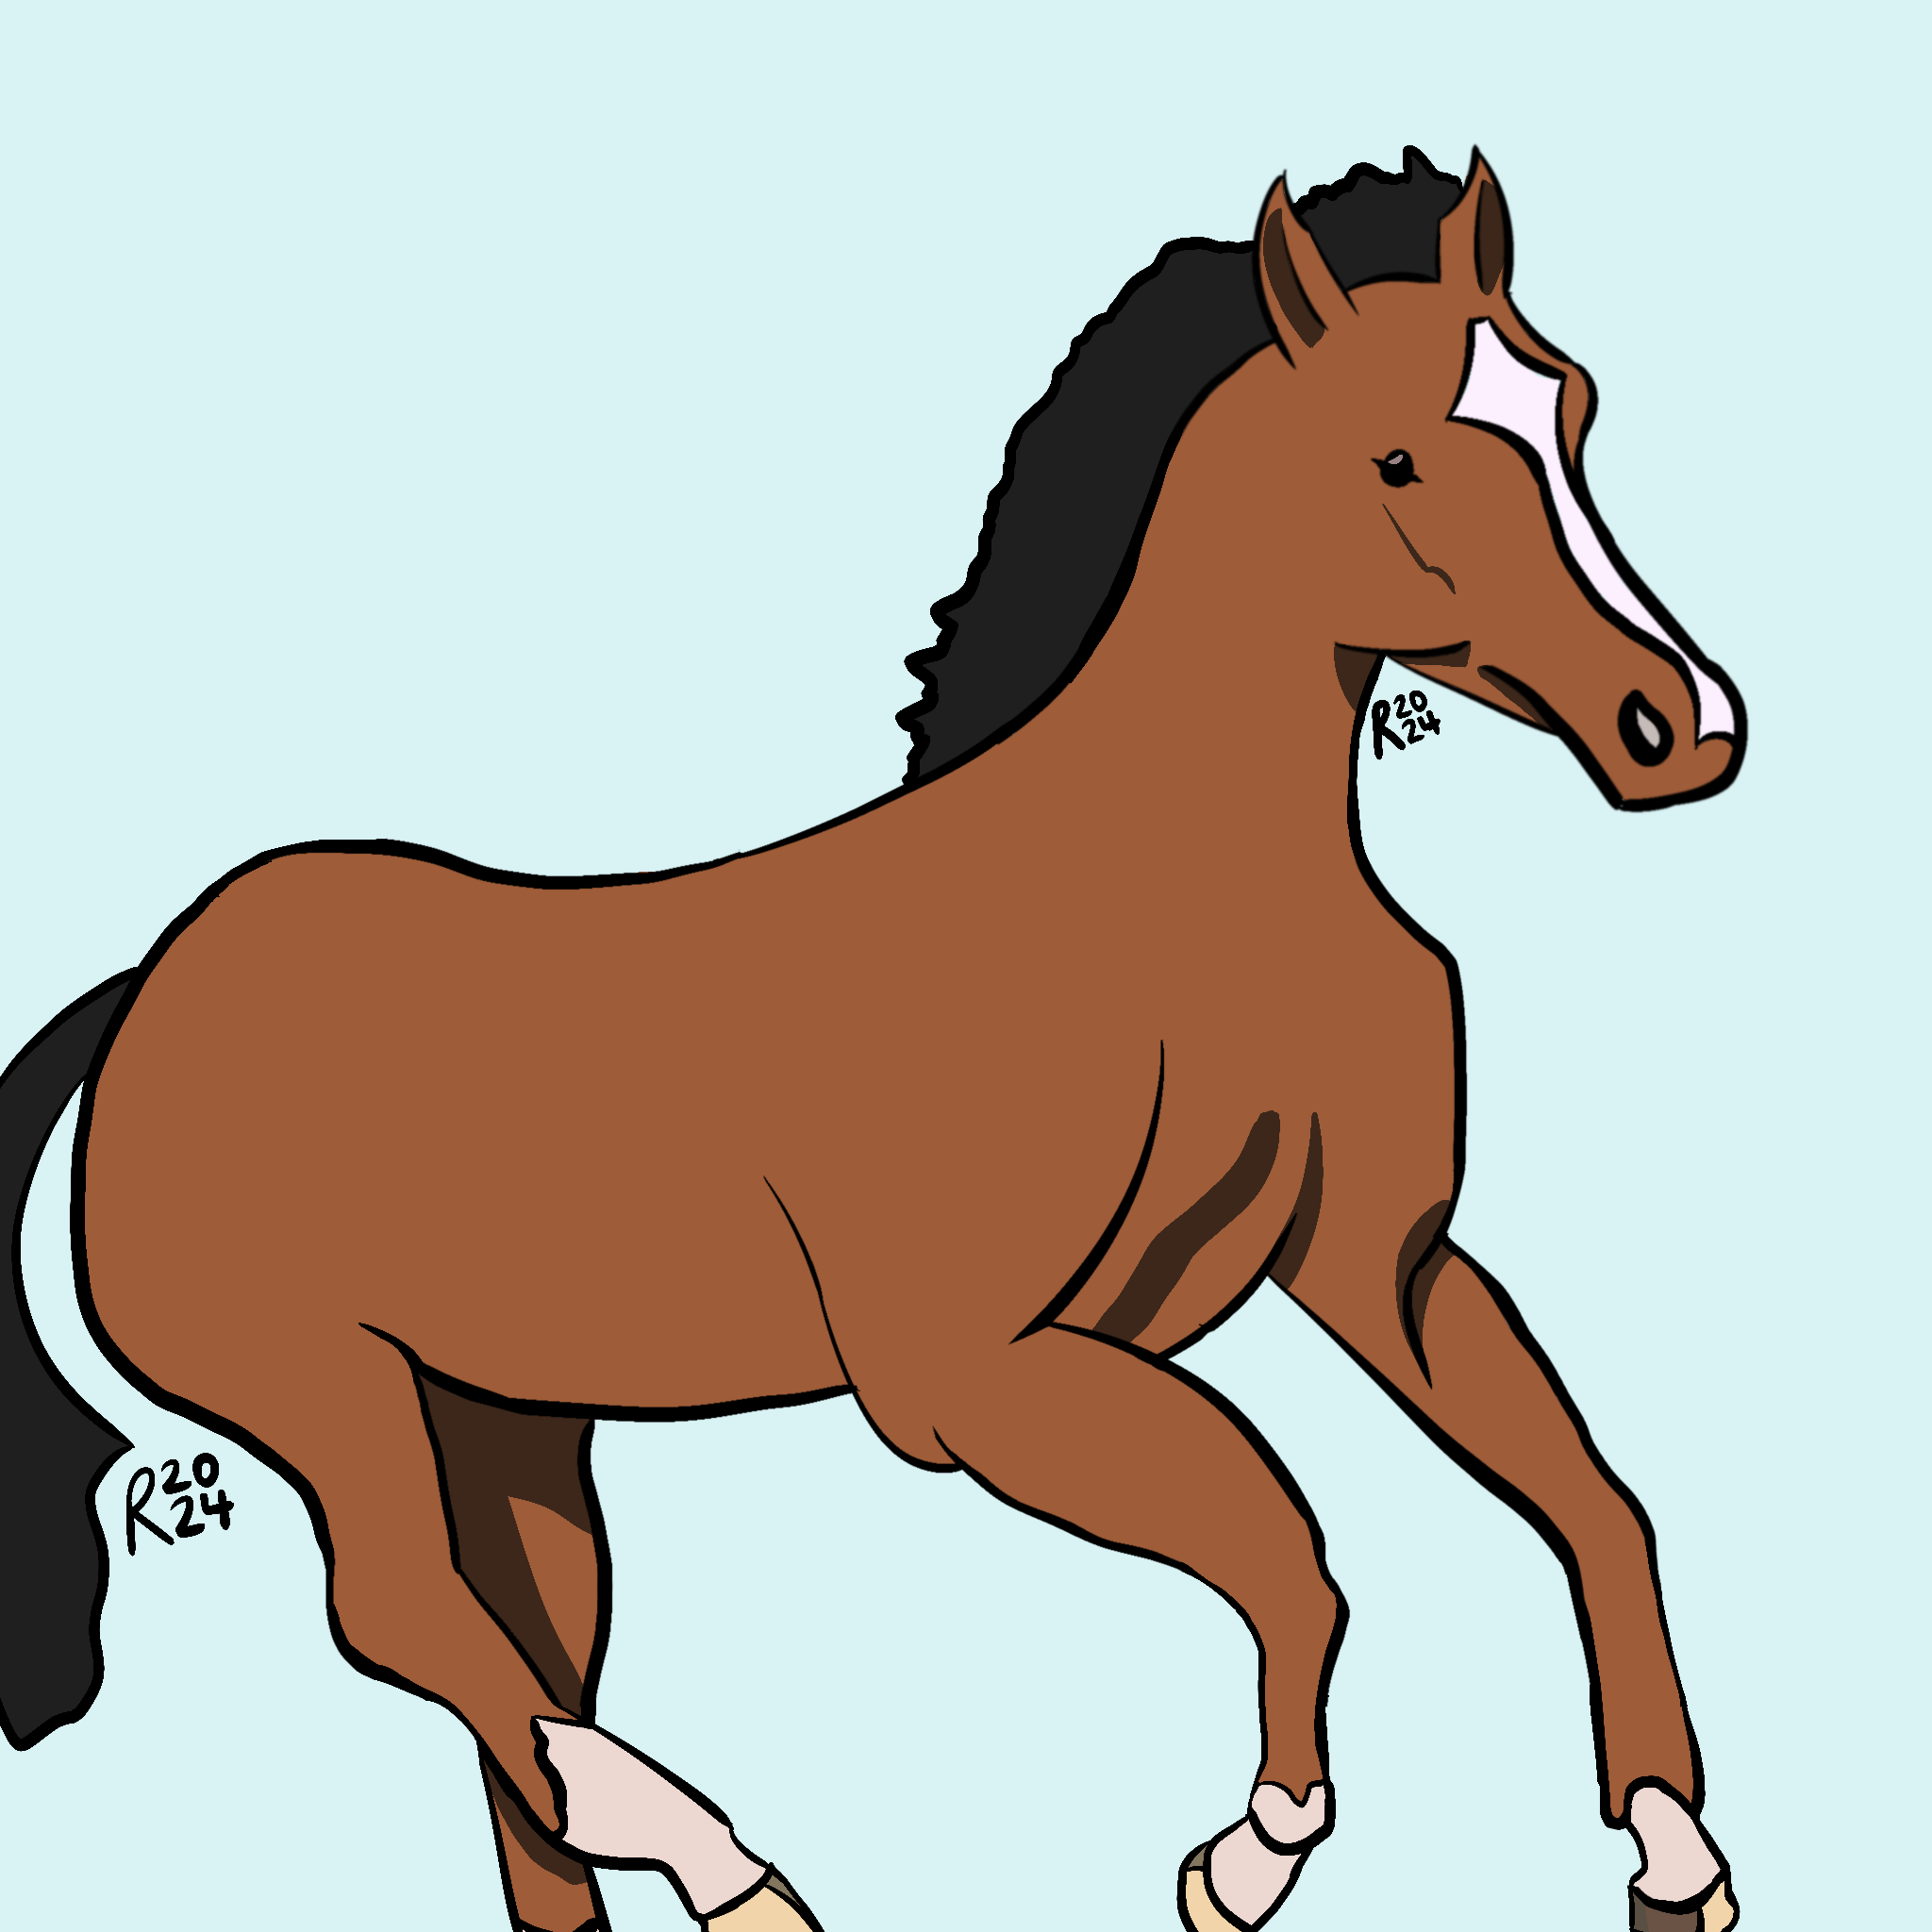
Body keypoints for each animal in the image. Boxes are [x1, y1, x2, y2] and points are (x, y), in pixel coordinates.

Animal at [0, 147, 1747, 1932]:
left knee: (521, 1683)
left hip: (500, 1426)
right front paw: (1245, 1855)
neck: (1167, 897)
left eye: (1570, 405)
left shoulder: (1377, 1269)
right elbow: (1288, 1548)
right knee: (407, 1620)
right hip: (317, 1393)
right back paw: (732, 1864)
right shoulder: (973, 1381)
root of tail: (146, 992)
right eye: (1396, 454)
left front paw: (1674, 1852)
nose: (1679, 729)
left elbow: (1592, 1497)